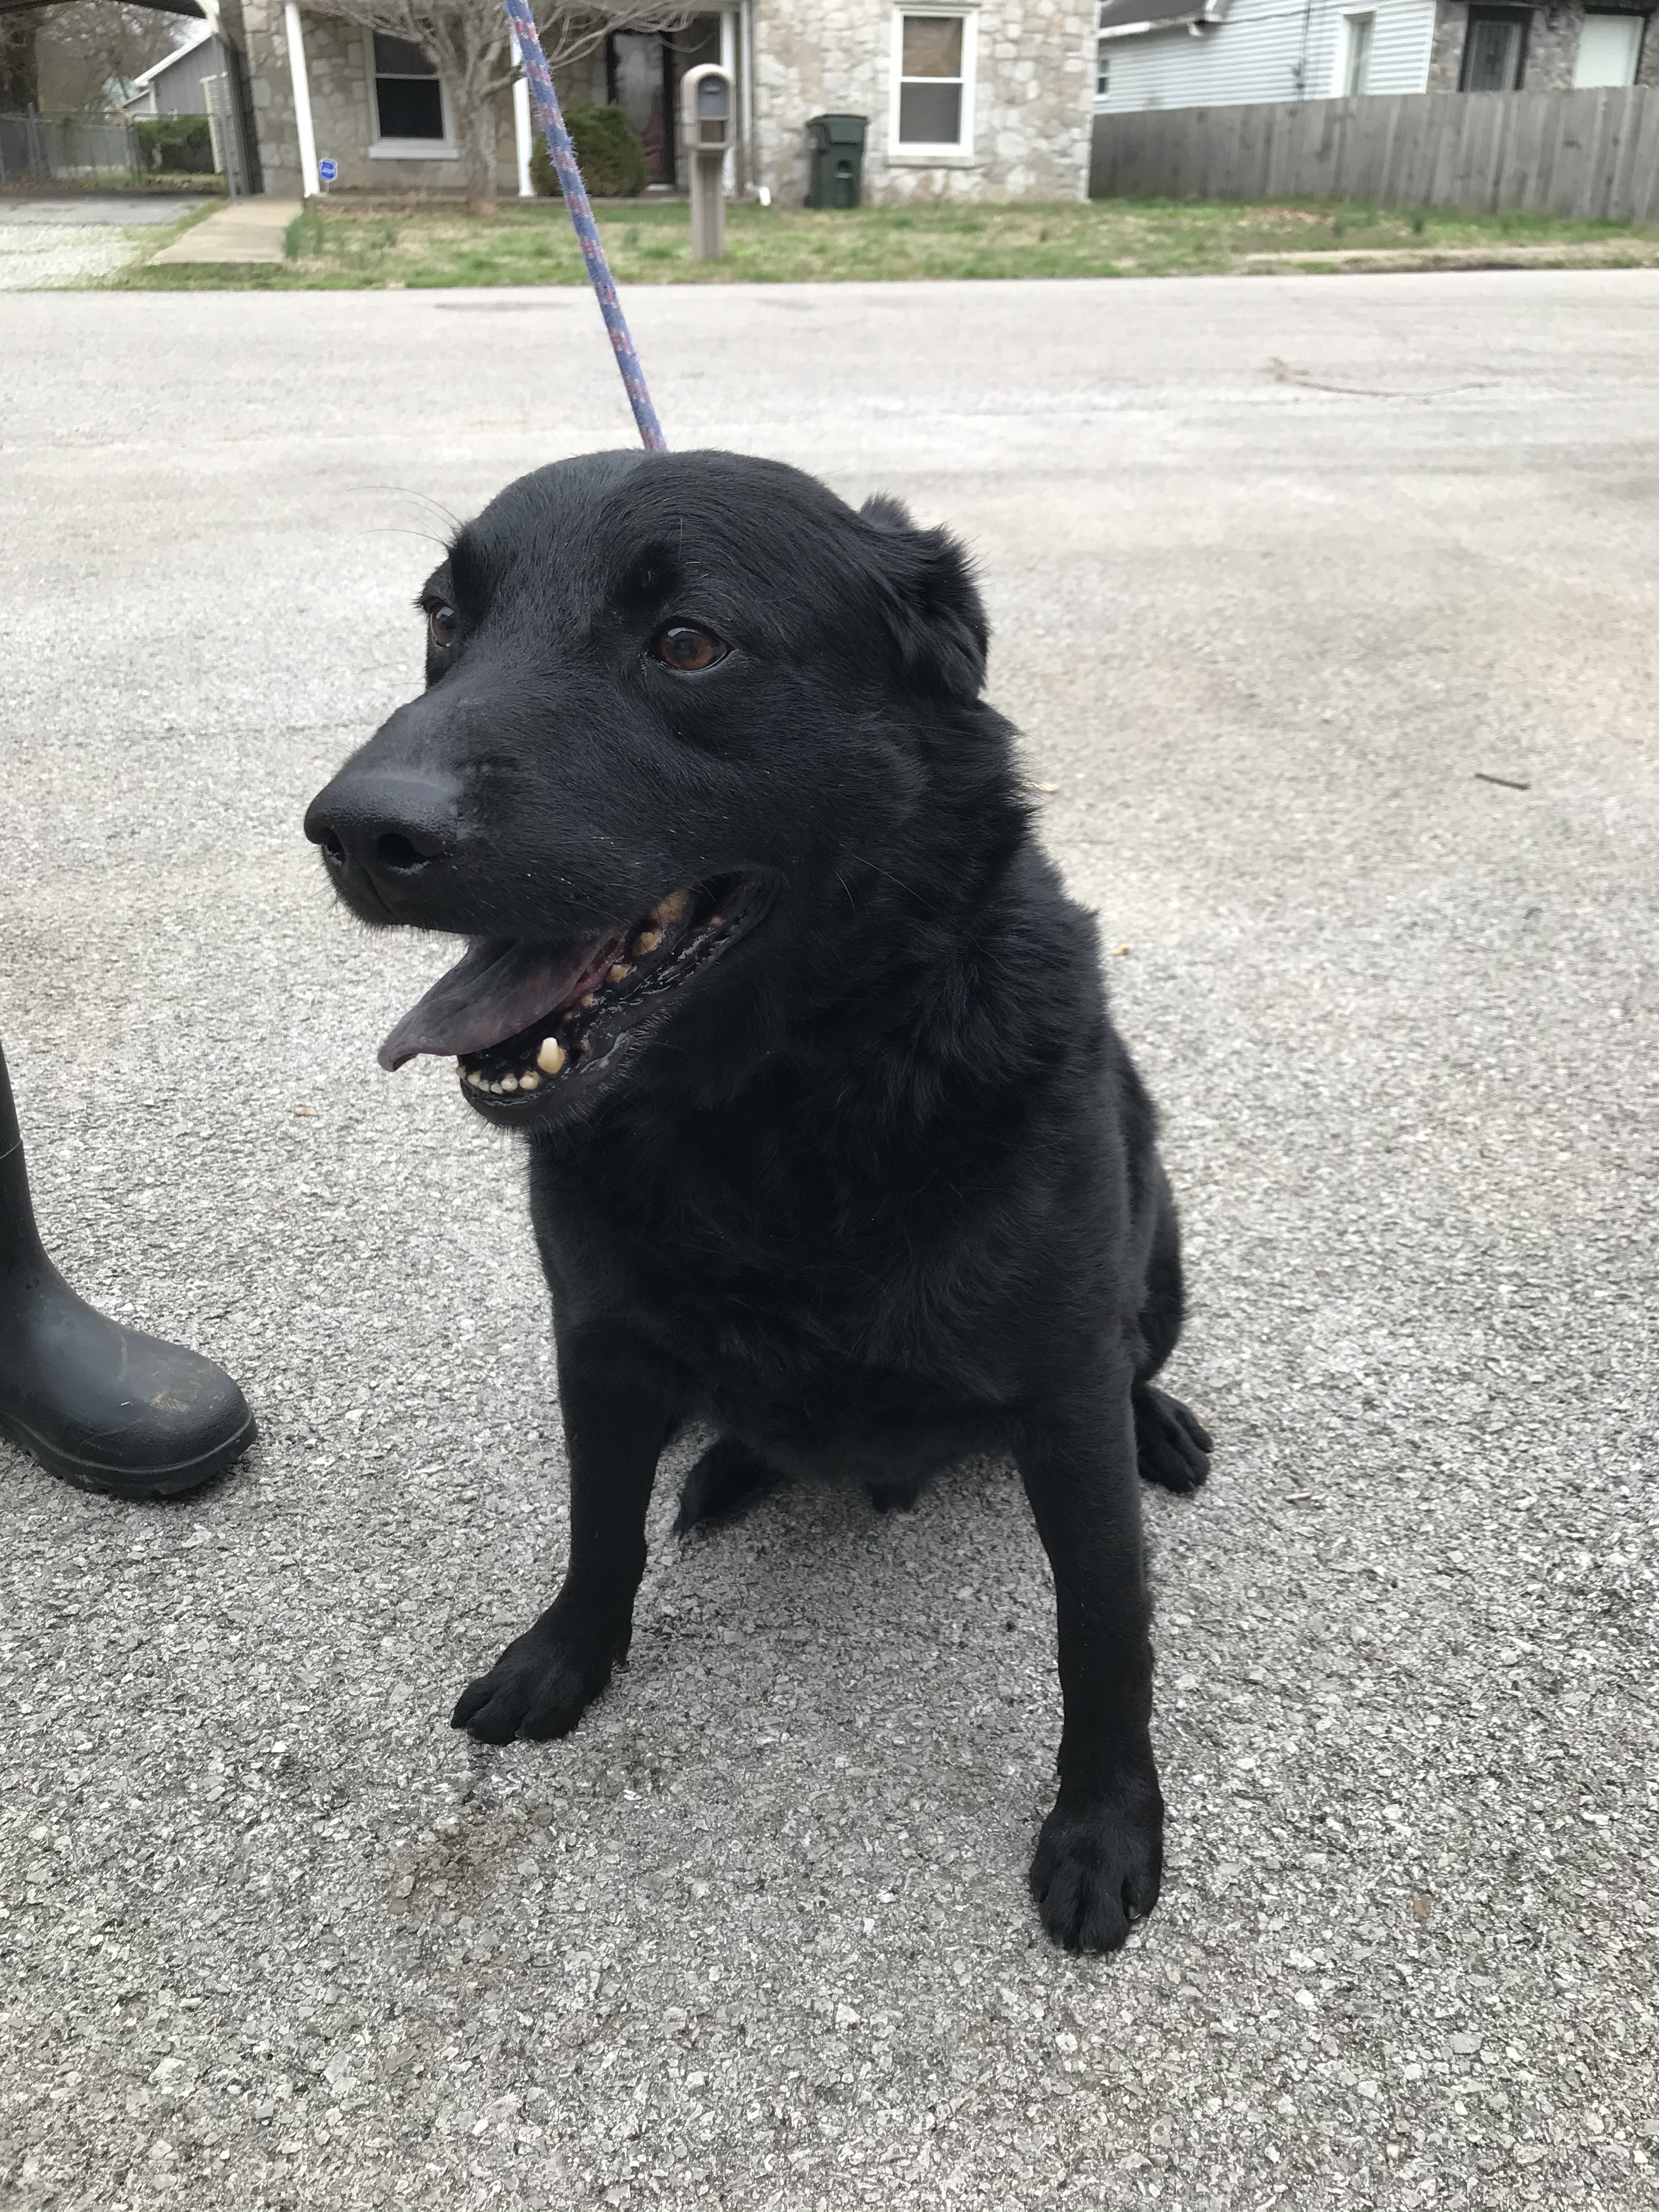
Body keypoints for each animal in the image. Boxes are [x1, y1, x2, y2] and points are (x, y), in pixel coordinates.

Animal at [305, 453, 1212, 1955]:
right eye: (444, 618)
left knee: (1139, 1359)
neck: (777, 1116)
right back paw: (731, 1468)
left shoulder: (1062, 1385)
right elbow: (598, 1528)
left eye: (687, 644)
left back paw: (1163, 1425)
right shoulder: (598, 1345)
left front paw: (1104, 1823)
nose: (358, 832)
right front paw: (566, 1659)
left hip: (1164, 1257)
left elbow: (1104, 1627)